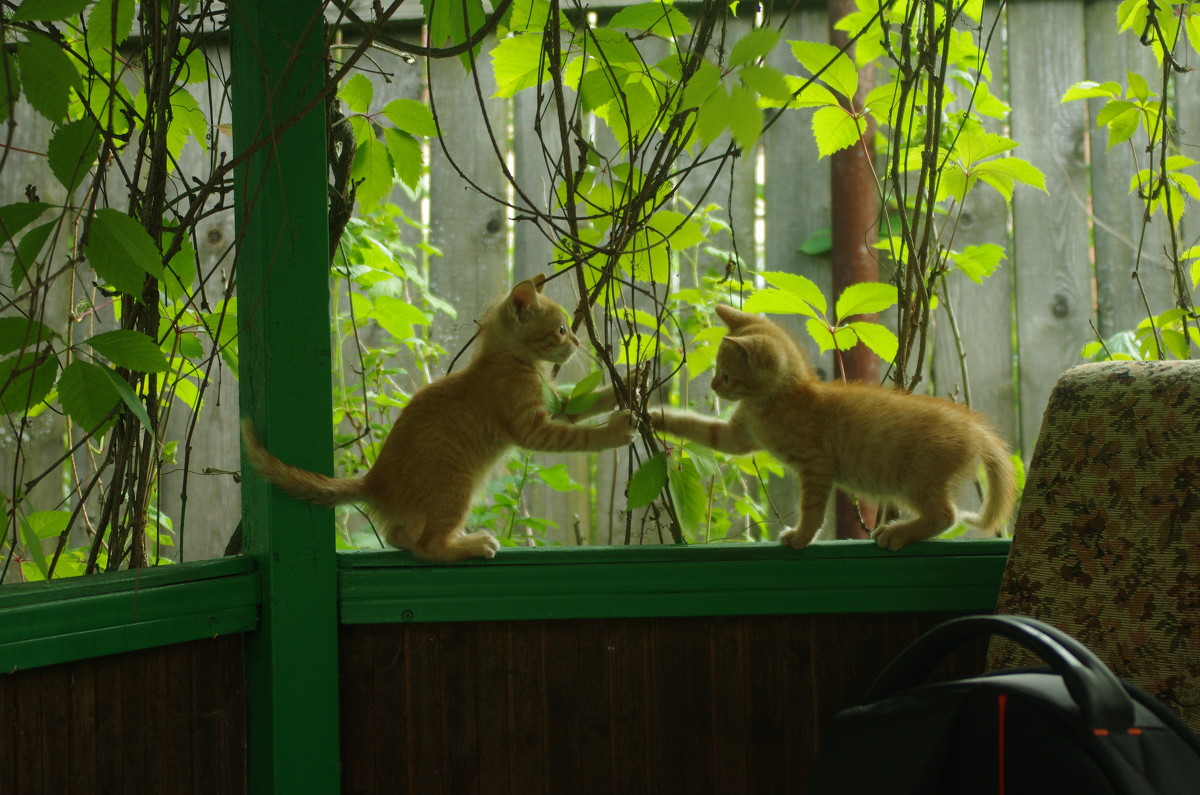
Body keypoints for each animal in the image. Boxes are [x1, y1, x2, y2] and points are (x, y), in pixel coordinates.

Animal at [244, 277, 638, 564]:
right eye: (560, 329)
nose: (577, 343)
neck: (509, 361)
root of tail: (376, 480)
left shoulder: (556, 405)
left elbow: (586, 403)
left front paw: (632, 384)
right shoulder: (532, 427)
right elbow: (580, 437)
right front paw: (617, 431)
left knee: (398, 536)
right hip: (456, 487)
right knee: (427, 547)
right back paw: (470, 545)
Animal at [657, 306, 1012, 554]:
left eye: (727, 375)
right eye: (718, 372)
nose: (714, 385)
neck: (773, 401)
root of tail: (974, 427)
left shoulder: (816, 464)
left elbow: (812, 508)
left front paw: (801, 537)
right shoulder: (738, 436)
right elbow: (698, 428)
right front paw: (654, 416)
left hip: (917, 478)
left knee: (945, 516)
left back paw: (897, 532)